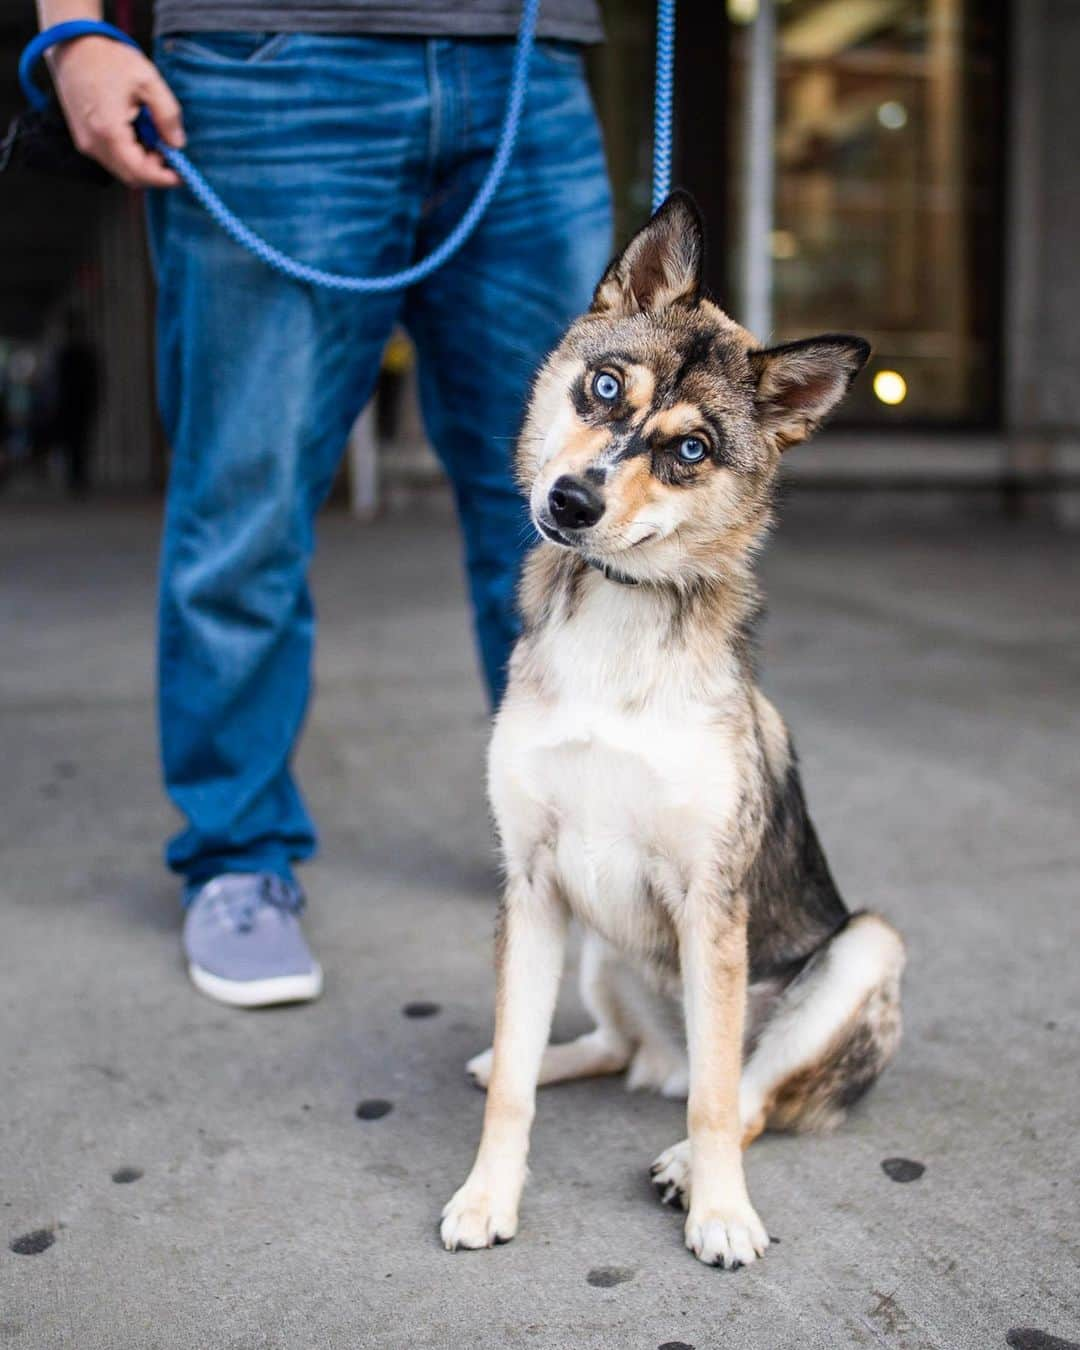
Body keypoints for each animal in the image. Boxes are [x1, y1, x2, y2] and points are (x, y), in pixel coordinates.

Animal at [437, 190, 901, 1263]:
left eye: (690, 450)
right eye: (604, 387)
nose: (569, 500)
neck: (620, 619)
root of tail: (664, 1061)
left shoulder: (710, 903)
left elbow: (726, 1100)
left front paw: (721, 1209)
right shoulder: (532, 882)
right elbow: (513, 1085)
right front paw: (489, 1194)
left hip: (867, 950)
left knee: (740, 1091)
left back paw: (691, 1166)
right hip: (598, 946)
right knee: (612, 1050)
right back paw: (565, 1058)